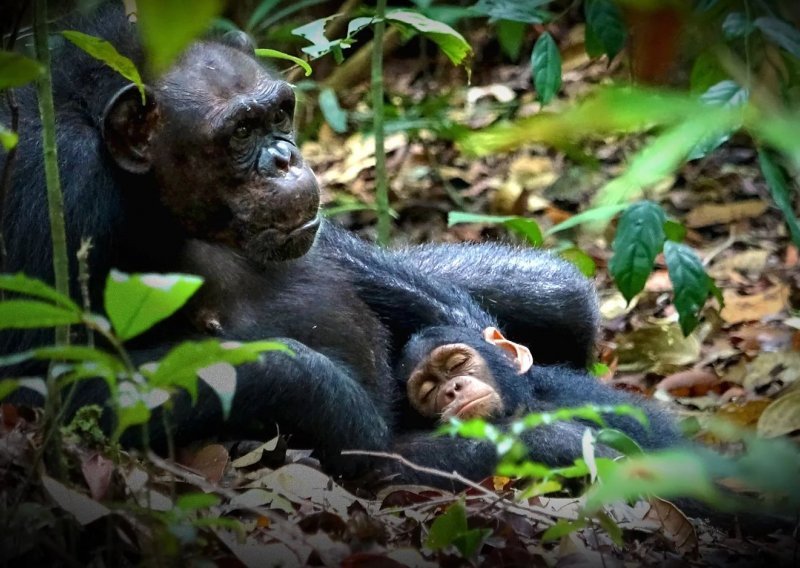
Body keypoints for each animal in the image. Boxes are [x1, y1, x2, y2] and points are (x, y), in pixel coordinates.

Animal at [0, 5, 612, 480]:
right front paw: (342, 406)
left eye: (278, 114)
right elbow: (43, 385)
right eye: (240, 133)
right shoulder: (54, 184)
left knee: (562, 298)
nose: (284, 157)